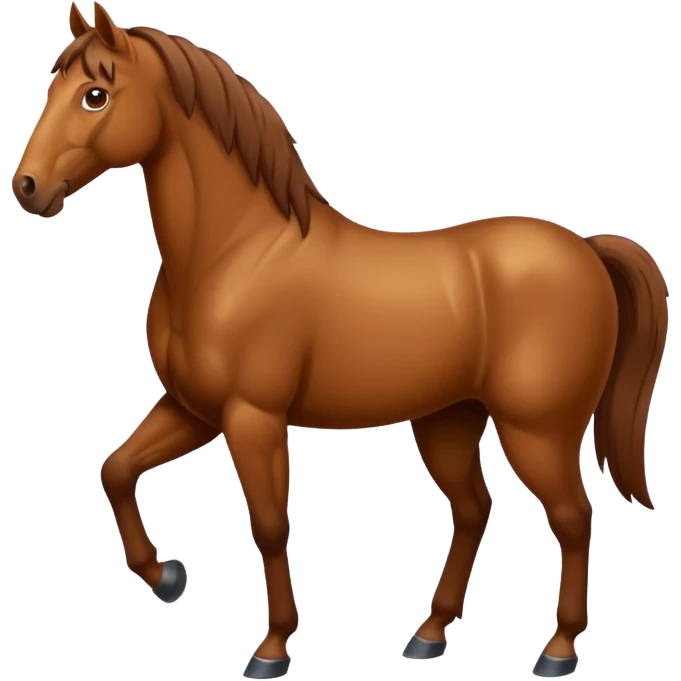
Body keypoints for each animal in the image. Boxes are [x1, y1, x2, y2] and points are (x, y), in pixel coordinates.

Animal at [12, 3, 669, 679]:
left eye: (95, 94)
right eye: (53, 87)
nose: (28, 187)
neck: (236, 252)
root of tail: (586, 249)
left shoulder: (252, 418)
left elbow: (270, 526)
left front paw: (272, 648)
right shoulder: (194, 410)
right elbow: (116, 470)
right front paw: (167, 577)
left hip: (537, 430)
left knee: (573, 518)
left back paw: (557, 650)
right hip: (450, 420)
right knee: (473, 510)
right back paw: (429, 635)